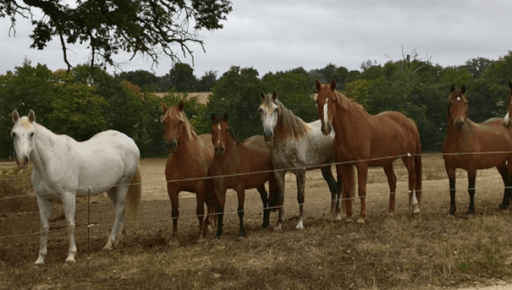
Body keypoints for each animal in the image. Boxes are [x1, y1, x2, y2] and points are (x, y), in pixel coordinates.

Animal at [10, 110, 142, 264]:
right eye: (14, 134)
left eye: (32, 134)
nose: (22, 161)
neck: (50, 161)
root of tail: (130, 140)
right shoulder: (42, 198)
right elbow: (44, 226)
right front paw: (40, 258)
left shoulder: (68, 197)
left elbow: (70, 224)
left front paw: (71, 256)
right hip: (111, 188)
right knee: (119, 210)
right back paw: (118, 240)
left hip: (123, 184)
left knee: (119, 210)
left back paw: (109, 244)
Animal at [162, 101, 214, 244]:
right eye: (164, 122)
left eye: (180, 122)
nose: (171, 145)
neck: (185, 159)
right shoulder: (172, 189)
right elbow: (174, 213)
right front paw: (174, 238)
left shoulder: (199, 187)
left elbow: (199, 211)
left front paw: (200, 237)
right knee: (211, 204)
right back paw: (209, 226)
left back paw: (209, 227)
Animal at [314, 80, 422, 223]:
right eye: (318, 101)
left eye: (333, 101)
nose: (326, 128)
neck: (351, 130)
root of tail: (409, 121)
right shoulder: (344, 164)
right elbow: (347, 190)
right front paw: (349, 216)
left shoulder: (362, 164)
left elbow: (362, 190)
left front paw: (361, 217)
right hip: (387, 162)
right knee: (392, 181)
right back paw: (391, 211)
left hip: (407, 157)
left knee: (413, 177)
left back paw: (415, 208)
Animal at [442, 84, 512, 213]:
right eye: (451, 103)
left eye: (465, 102)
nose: (458, 123)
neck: (459, 139)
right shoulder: (449, 167)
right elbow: (452, 189)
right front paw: (452, 209)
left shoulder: (471, 168)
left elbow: (471, 188)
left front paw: (471, 209)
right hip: (499, 162)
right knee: (506, 180)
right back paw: (504, 204)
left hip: (510, 160)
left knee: (509, 180)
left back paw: (505, 204)